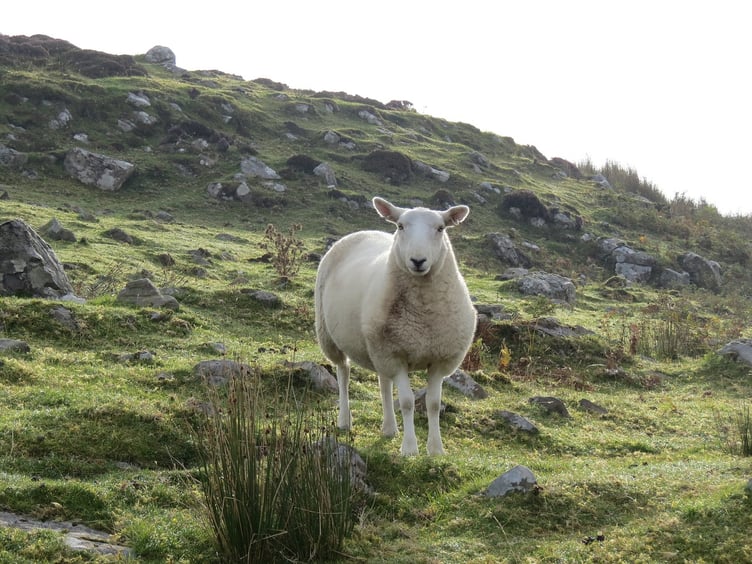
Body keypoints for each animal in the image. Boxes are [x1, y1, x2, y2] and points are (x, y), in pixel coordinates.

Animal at [314, 197, 477, 455]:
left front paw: (436, 449)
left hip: (378, 346)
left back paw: (389, 428)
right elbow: (408, 402)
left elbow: (433, 404)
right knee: (343, 374)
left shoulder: (438, 359)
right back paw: (344, 420)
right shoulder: (396, 355)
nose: (418, 261)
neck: (423, 316)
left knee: (383, 384)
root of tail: (363, 231)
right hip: (331, 337)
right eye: (400, 226)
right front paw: (410, 449)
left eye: (440, 228)